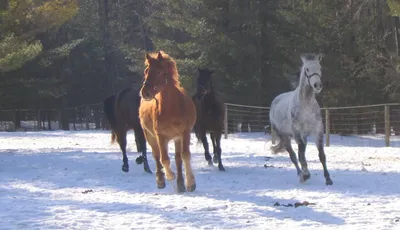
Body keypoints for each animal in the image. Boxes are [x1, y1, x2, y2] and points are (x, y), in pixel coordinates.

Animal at [138, 50, 198, 192]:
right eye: (146, 71)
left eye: (159, 72)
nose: (145, 92)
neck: (172, 108)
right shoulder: (160, 136)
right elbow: (164, 159)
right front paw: (170, 176)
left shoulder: (184, 133)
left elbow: (185, 155)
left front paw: (190, 183)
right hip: (150, 137)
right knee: (156, 155)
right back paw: (161, 180)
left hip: (177, 139)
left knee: (178, 158)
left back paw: (181, 184)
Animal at [270, 53, 332, 185]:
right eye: (307, 69)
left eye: (320, 68)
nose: (317, 85)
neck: (306, 105)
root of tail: (275, 100)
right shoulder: (297, 133)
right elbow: (300, 156)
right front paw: (306, 175)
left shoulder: (318, 131)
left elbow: (321, 155)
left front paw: (328, 179)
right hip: (285, 136)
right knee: (293, 155)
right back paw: (301, 174)